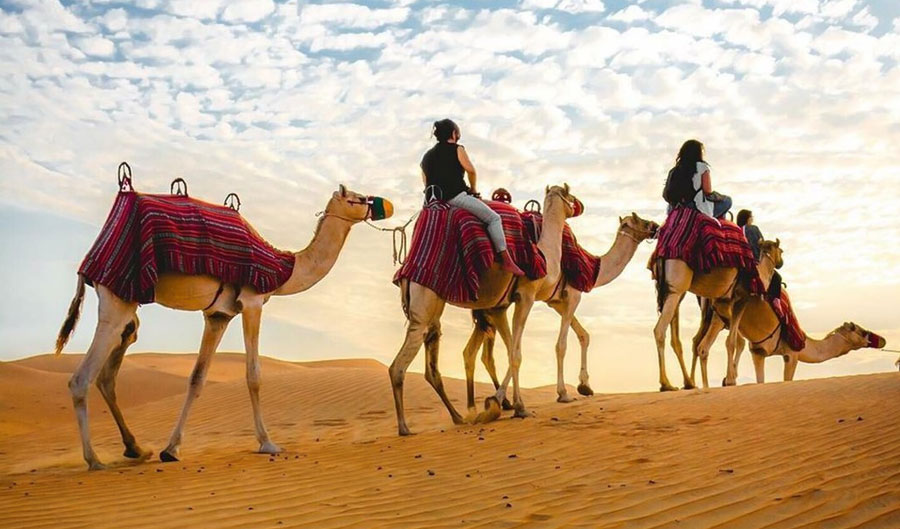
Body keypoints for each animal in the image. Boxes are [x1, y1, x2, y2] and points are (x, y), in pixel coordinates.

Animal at [55, 185, 391, 470]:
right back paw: (94, 460)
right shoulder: (253, 301)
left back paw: (136, 448)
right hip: (118, 300)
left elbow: (197, 378)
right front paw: (268, 443)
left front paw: (170, 449)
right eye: (358, 198)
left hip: (127, 303)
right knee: (82, 379)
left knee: (107, 375)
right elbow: (253, 375)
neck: (283, 268)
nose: (382, 205)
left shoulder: (218, 315)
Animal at [389, 185, 579, 436]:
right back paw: (404, 427)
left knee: (432, 365)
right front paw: (518, 407)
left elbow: (510, 352)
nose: (578, 206)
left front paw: (503, 403)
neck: (543, 254)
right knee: (398, 366)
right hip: (424, 304)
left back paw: (459, 417)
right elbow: (516, 353)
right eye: (570, 197)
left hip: (433, 308)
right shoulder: (525, 296)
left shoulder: (498, 307)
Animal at [463, 213, 659, 408]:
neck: (593, 268)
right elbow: (561, 345)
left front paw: (585, 386)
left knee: (479, 352)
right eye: (641, 220)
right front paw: (563, 392)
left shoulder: (556, 301)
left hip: (490, 309)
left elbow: (584, 335)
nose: (656, 226)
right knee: (499, 350)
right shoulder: (574, 296)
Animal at [652, 237, 783, 392]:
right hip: (678, 288)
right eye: (781, 251)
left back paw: (689, 383)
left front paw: (729, 377)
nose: (781, 263)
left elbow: (736, 340)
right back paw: (667, 384)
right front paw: (730, 379)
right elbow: (733, 341)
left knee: (688, 340)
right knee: (662, 331)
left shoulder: (724, 309)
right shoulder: (740, 300)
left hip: (676, 294)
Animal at [692, 295, 887, 385]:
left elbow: (761, 380)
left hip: (714, 316)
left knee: (701, 345)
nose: (883, 340)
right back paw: (728, 380)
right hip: (730, 311)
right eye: (862, 331)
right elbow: (787, 380)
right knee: (726, 342)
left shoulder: (758, 352)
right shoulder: (791, 355)